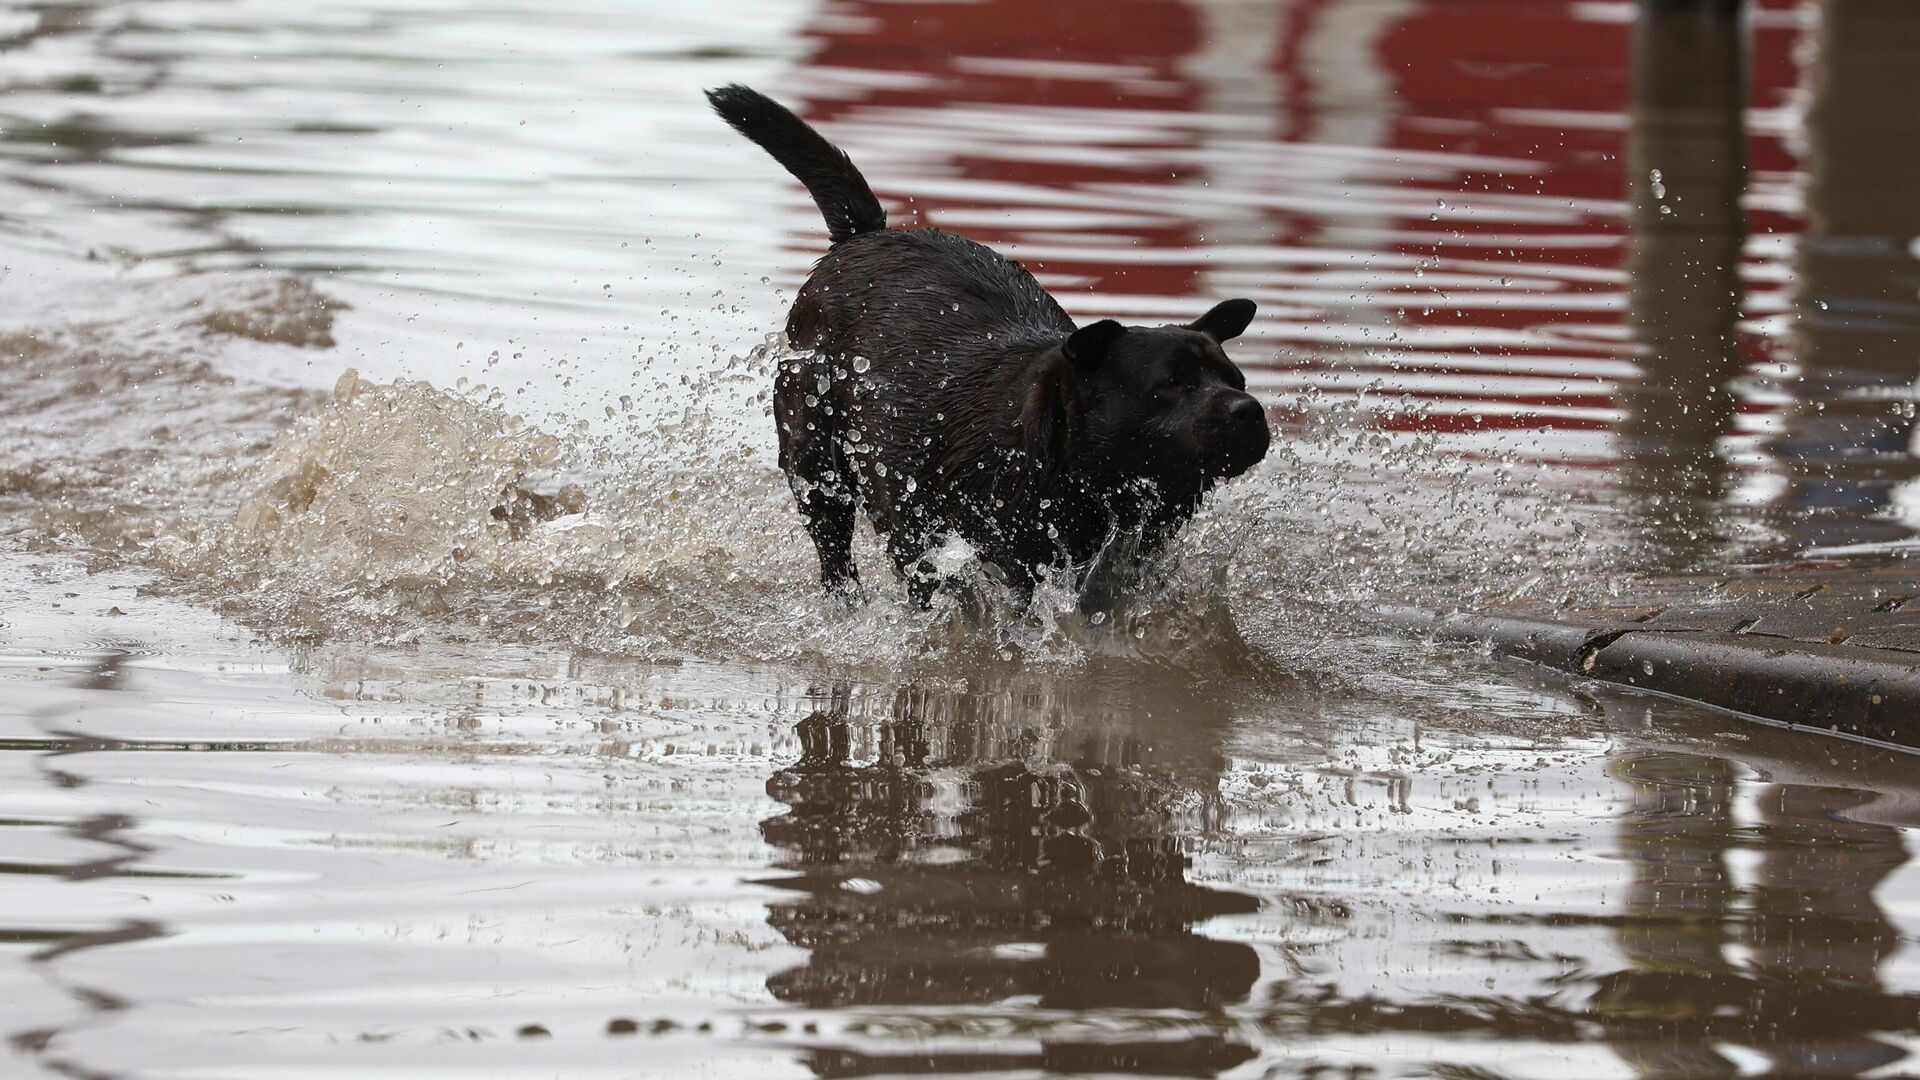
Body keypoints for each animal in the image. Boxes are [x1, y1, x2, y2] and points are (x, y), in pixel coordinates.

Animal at [714, 84, 1267, 607]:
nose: (1249, 409)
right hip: (816, 462)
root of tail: (862, 236)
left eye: (1236, 380)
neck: (1059, 461)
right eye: (1172, 382)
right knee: (838, 552)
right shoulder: (984, 549)